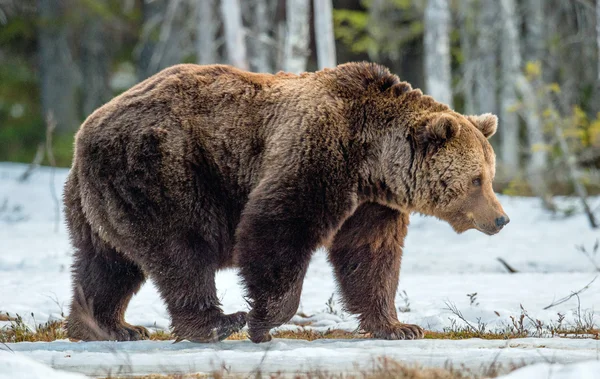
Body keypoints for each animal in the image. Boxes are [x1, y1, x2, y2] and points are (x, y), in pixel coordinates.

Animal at [64, 61, 506, 344]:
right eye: (477, 179)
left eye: (490, 174)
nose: (501, 218)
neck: (371, 159)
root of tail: (86, 127)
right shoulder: (315, 154)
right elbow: (276, 232)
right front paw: (262, 320)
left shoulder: (372, 205)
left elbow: (370, 258)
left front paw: (399, 327)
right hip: (160, 170)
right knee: (181, 251)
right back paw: (217, 323)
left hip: (97, 200)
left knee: (107, 264)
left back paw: (105, 326)